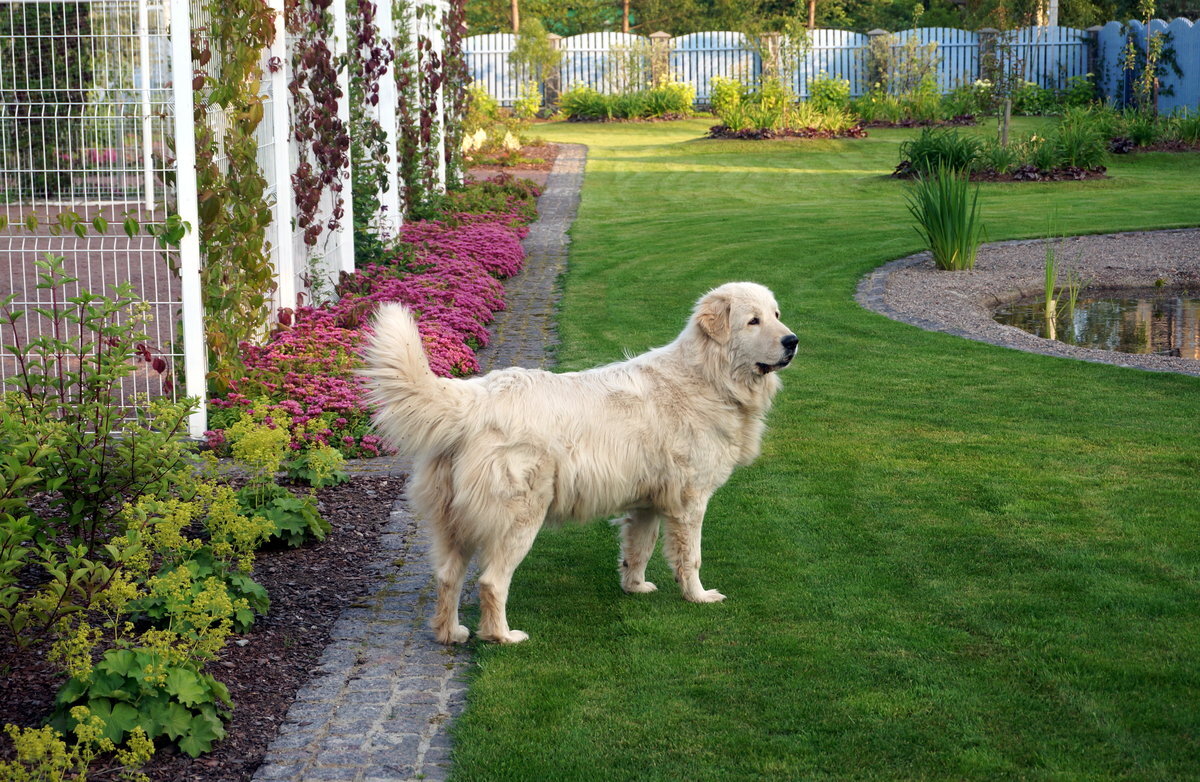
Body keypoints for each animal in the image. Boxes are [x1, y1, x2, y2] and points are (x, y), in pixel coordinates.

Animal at [362, 280, 796, 642]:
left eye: (776, 314)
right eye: (753, 321)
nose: (793, 340)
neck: (709, 376)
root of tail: (478, 395)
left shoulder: (646, 502)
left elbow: (639, 548)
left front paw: (635, 587)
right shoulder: (690, 502)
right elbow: (691, 557)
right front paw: (699, 597)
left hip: (454, 523)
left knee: (448, 577)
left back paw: (451, 634)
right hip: (519, 519)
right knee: (491, 582)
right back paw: (502, 637)